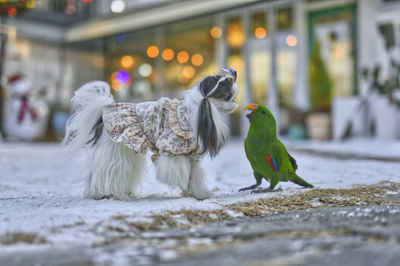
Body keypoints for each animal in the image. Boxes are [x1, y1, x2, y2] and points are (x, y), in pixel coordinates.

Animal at [62, 68, 238, 200]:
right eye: (227, 95)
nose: (235, 103)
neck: (194, 111)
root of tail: (103, 112)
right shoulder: (171, 150)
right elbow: (181, 169)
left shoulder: (191, 156)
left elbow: (193, 175)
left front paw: (197, 194)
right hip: (115, 151)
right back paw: (105, 193)